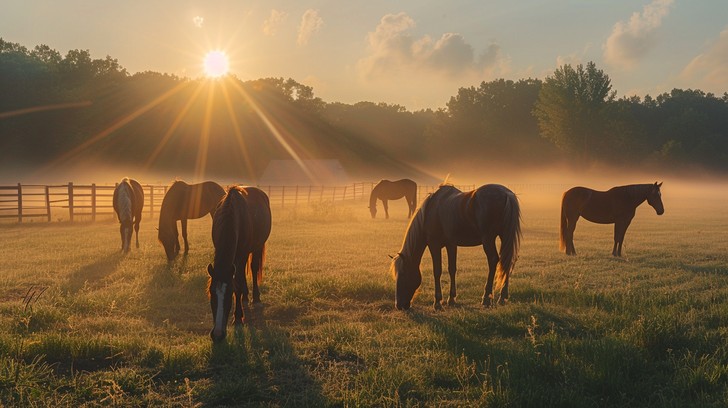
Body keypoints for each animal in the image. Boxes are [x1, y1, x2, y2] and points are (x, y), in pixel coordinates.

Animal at [207, 186, 271, 342]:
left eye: (229, 294)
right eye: (211, 293)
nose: (217, 335)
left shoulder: (242, 255)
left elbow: (237, 283)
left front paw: (237, 317)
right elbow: (238, 280)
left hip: (256, 247)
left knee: (253, 269)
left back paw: (255, 297)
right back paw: (246, 296)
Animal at [391, 184, 521, 310]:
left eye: (402, 274)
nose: (399, 305)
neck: (430, 210)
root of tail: (507, 194)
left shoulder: (434, 245)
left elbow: (437, 271)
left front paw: (437, 302)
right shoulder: (451, 245)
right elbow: (452, 269)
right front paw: (451, 299)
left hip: (488, 239)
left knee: (494, 260)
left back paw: (486, 299)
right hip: (505, 237)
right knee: (507, 261)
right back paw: (502, 297)